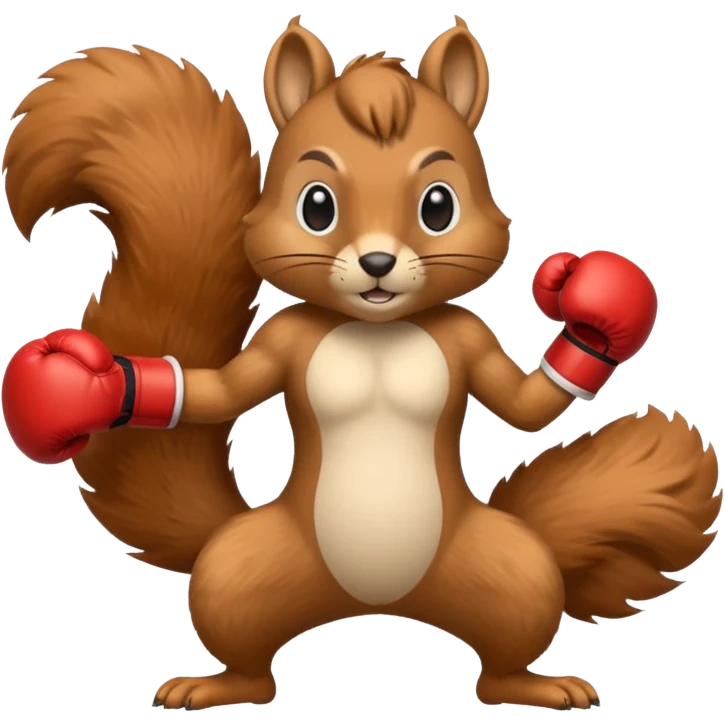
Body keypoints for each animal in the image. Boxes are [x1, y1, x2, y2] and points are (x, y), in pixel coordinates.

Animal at [0, 16, 720, 712]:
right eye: (315, 205)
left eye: (439, 205)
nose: (377, 261)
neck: (377, 329)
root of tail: (374, 605)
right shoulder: (282, 338)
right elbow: (218, 392)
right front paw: (77, 387)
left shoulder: (467, 335)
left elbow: (523, 406)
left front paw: (597, 306)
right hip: (240, 576)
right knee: (249, 658)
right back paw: (220, 688)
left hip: (511, 575)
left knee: (502, 656)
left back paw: (531, 688)